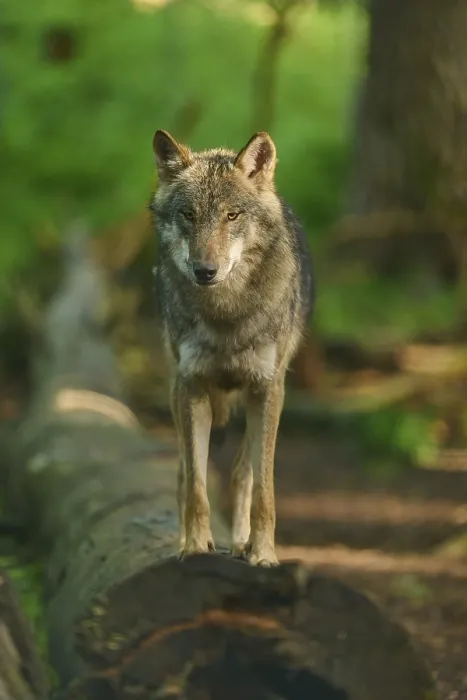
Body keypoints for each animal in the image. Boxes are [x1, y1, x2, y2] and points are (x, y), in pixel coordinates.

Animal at [151, 129, 313, 566]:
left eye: (231, 216)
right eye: (189, 215)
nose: (204, 271)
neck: (226, 315)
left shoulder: (268, 390)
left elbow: (263, 491)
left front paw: (263, 553)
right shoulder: (192, 388)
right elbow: (196, 486)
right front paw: (194, 546)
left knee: (243, 474)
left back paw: (242, 542)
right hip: (176, 394)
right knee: (183, 472)